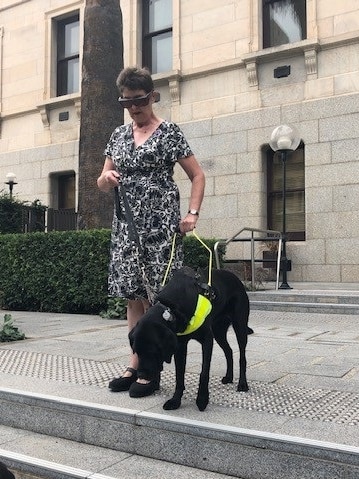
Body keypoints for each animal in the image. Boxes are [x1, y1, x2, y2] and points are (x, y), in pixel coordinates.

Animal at [129, 266, 253, 412]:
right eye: (136, 352)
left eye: (153, 352)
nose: (141, 375)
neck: (172, 307)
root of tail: (236, 278)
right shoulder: (179, 345)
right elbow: (179, 375)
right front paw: (175, 400)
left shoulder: (207, 340)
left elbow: (204, 373)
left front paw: (202, 399)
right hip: (218, 331)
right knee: (228, 351)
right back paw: (228, 377)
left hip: (239, 326)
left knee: (242, 356)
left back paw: (242, 384)